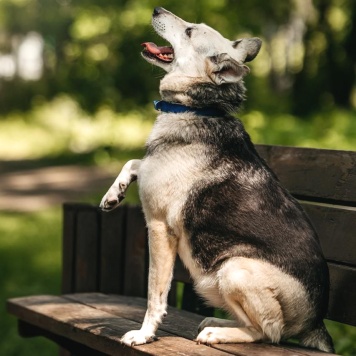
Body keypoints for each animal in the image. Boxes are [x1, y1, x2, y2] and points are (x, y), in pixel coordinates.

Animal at [100, 6, 334, 352]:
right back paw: (218, 321)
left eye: (189, 31)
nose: (156, 9)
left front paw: (144, 334)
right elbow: (135, 162)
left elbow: (155, 294)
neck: (199, 108)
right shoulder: (152, 169)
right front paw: (113, 193)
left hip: (233, 268)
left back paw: (218, 332)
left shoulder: (159, 228)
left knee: (269, 332)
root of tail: (316, 323)